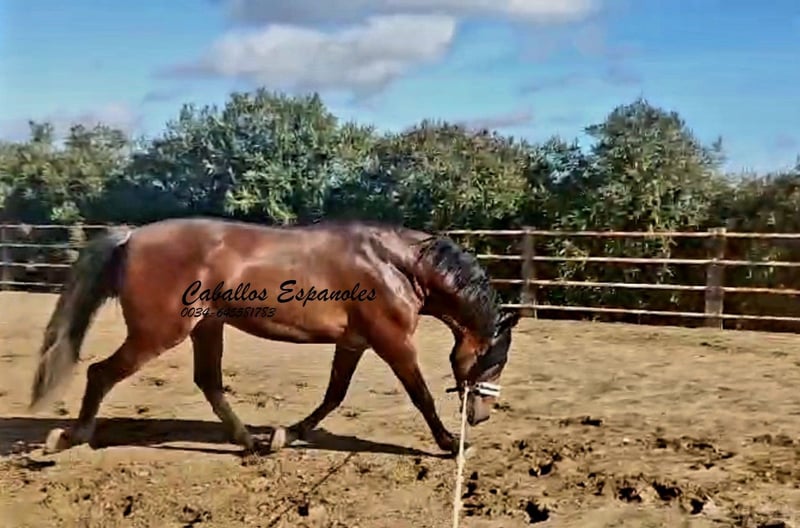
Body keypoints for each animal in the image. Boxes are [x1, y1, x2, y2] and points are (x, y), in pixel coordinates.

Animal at [28, 217, 521, 457]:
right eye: (494, 361)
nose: (481, 416)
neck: (397, 264)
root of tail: (130, 238)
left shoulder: (354, 342)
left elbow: (333, 395)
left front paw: (287, 434)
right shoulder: (392, 341)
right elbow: (421, 396)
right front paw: (452, 445)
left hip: (206, 327)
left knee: (209, 383)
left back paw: (251, 443)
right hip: (160, 332)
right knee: (100, 373)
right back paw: (69, 438)